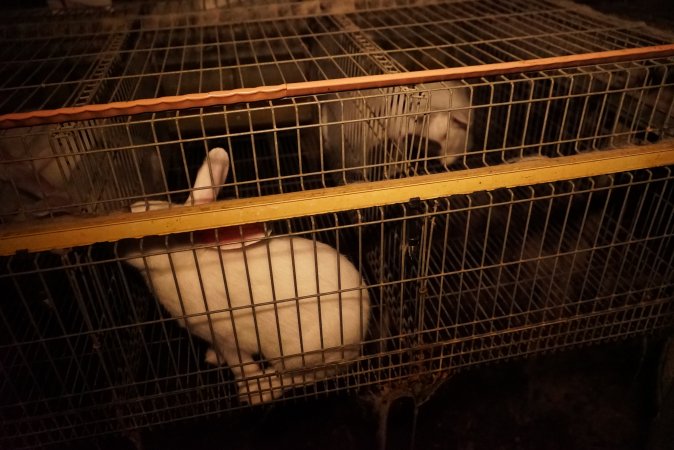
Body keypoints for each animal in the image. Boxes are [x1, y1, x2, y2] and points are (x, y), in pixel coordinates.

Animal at [123, 147, 370, 404]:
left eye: (147, 237)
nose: (120, 249)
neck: (187, 261)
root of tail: (359, 338)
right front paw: (213, 357)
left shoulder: (225, 336)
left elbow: (240, 364)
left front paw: (251, 385)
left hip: (304, 355)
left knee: (304, 376)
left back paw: (265, 389)